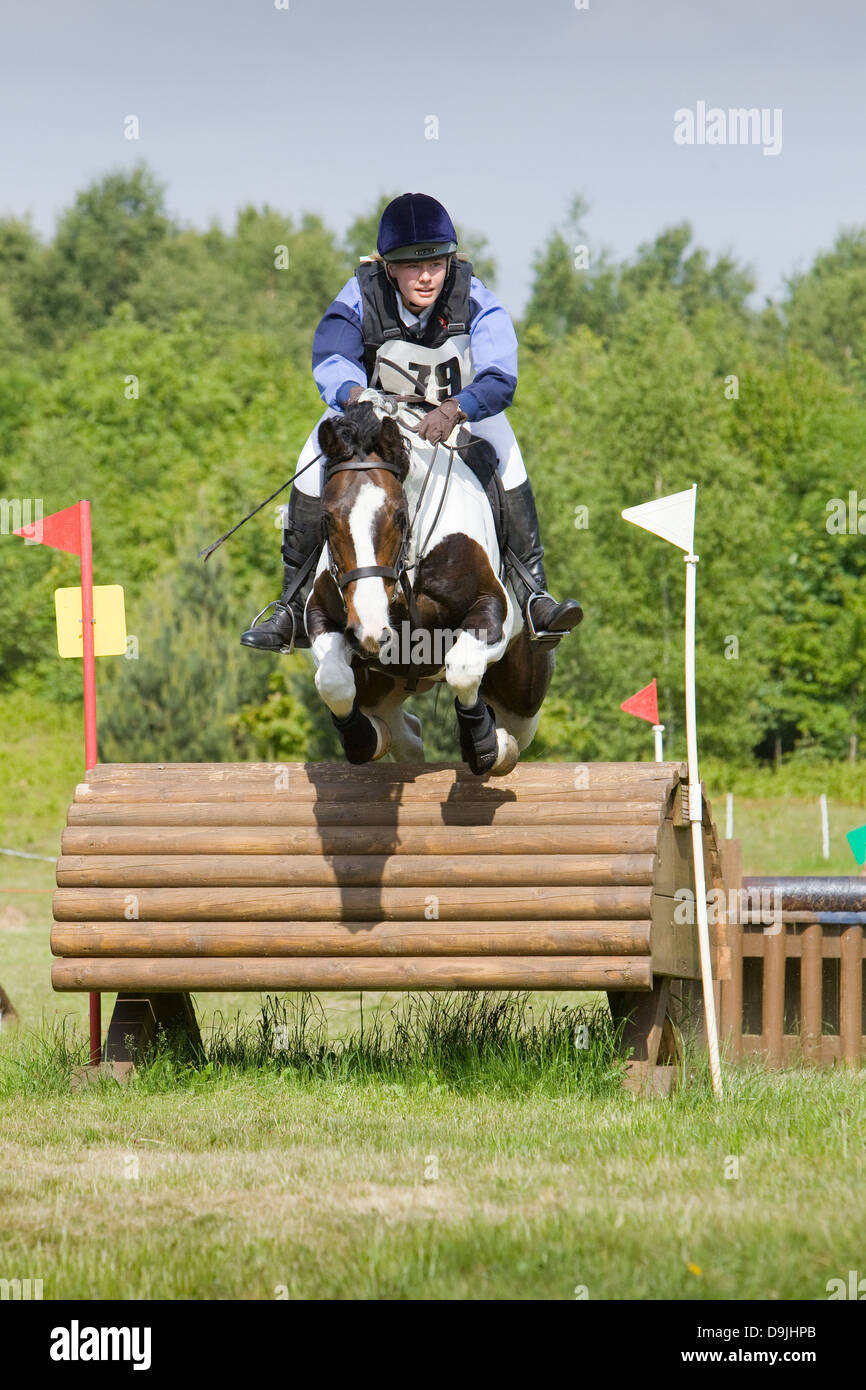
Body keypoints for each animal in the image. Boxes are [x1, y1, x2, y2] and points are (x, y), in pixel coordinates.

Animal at [304, 397, 556, 778]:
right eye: (327, 519)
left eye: (399, 516)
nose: (371, 633)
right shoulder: (322, 615)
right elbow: (333, 680)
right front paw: (363, 740)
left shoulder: (492, 609)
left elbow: (463, 670)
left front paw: (486, 746)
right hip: (382, 688)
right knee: (405, 732)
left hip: (523, 696)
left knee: (511, 722)